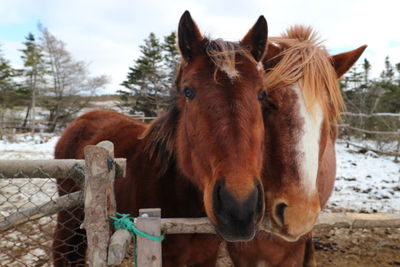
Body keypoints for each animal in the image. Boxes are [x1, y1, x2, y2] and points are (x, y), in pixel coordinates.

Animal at [51, 11, 268, 267]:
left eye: (262, 94)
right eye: (188, 92)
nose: (239, 207)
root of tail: (81, 119)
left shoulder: (205, 255)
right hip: (69, 215)